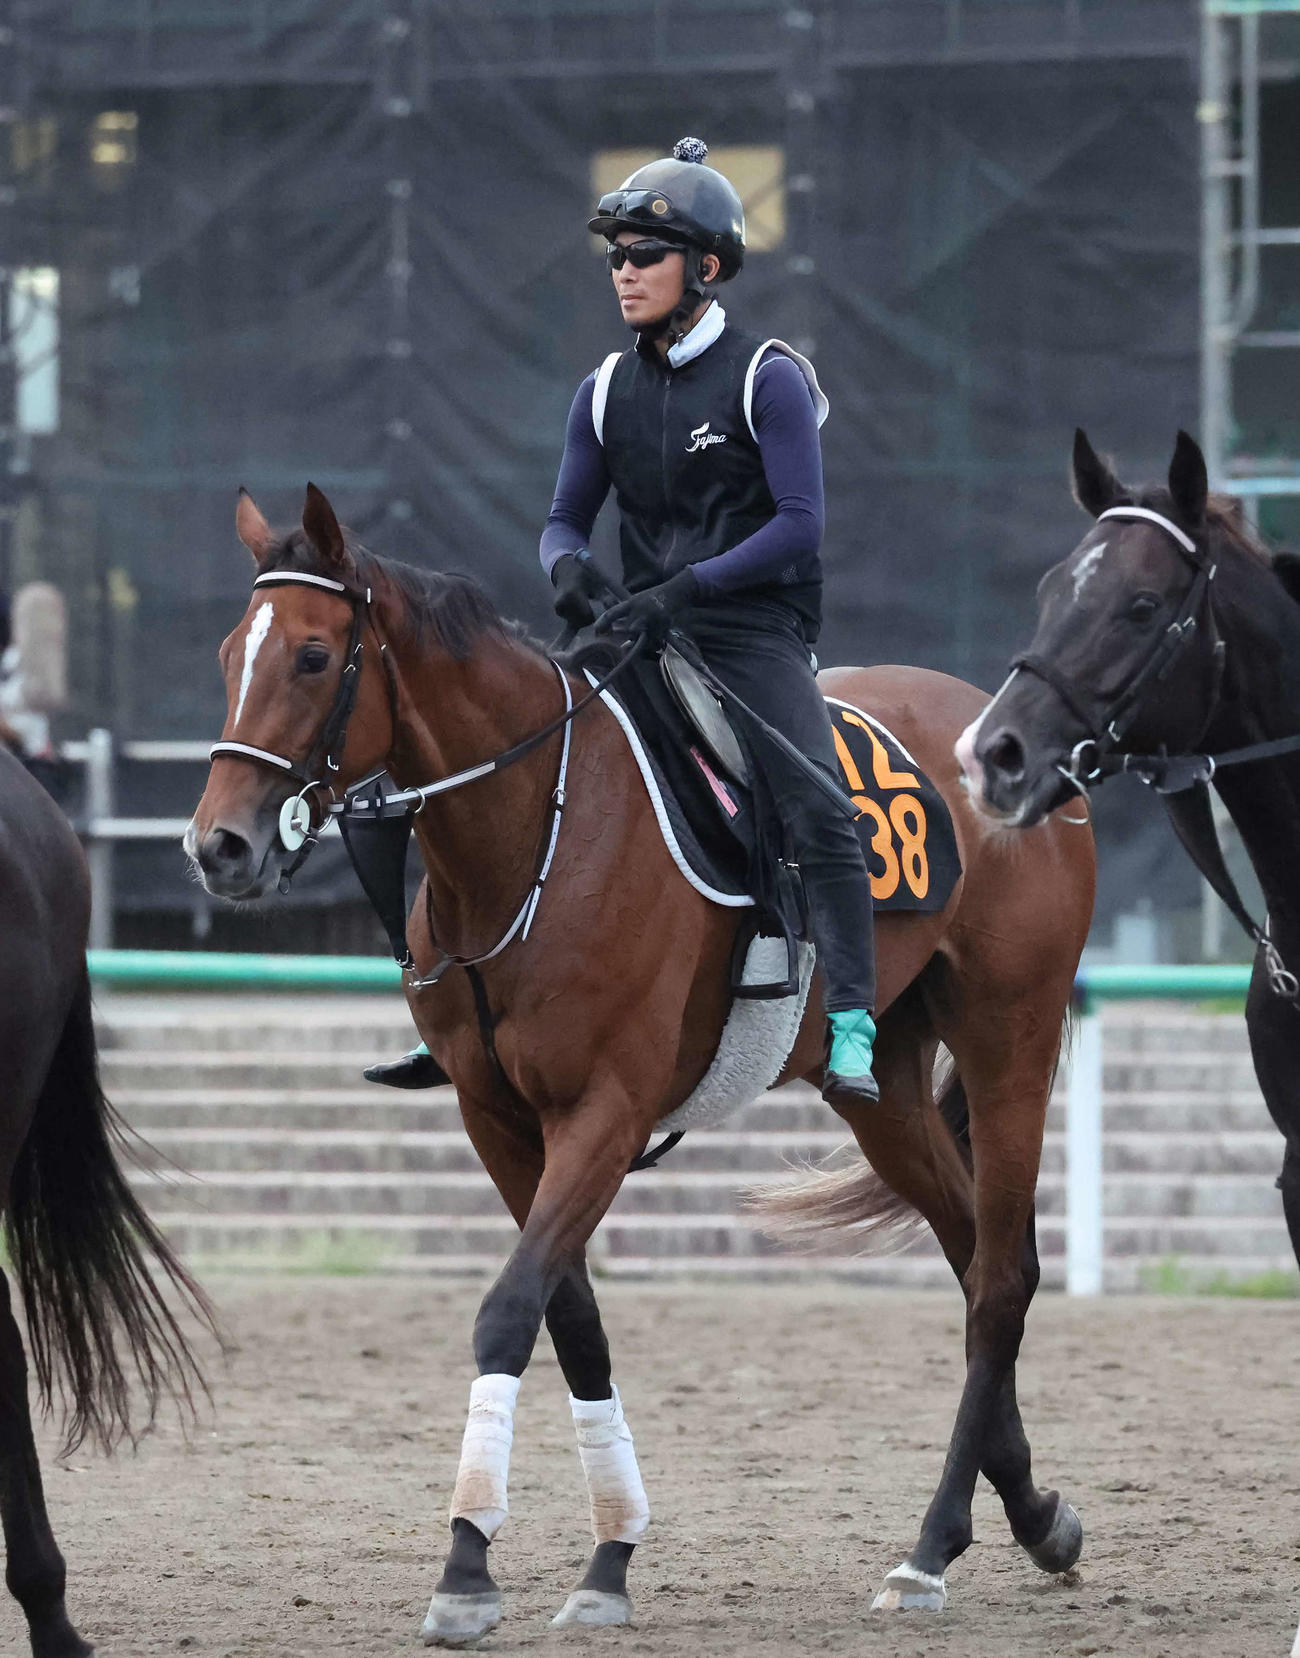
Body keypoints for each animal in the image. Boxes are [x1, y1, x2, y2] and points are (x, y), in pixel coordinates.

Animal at [186, 482, 1096, 1641]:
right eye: (229, 653)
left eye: (310, 656)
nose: (218, 847)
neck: (535, 832)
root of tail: (1001, 731)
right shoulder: (497, 1119)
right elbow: (570, 1317)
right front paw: (608, 1552)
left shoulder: (606, 1114)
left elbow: (508, 1309)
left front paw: (467, 1563)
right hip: (884, 1084)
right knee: (973, 1253)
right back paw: (1029, 1511)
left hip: (1006, 1033)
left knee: (1003, 1276)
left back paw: (931, 1547)